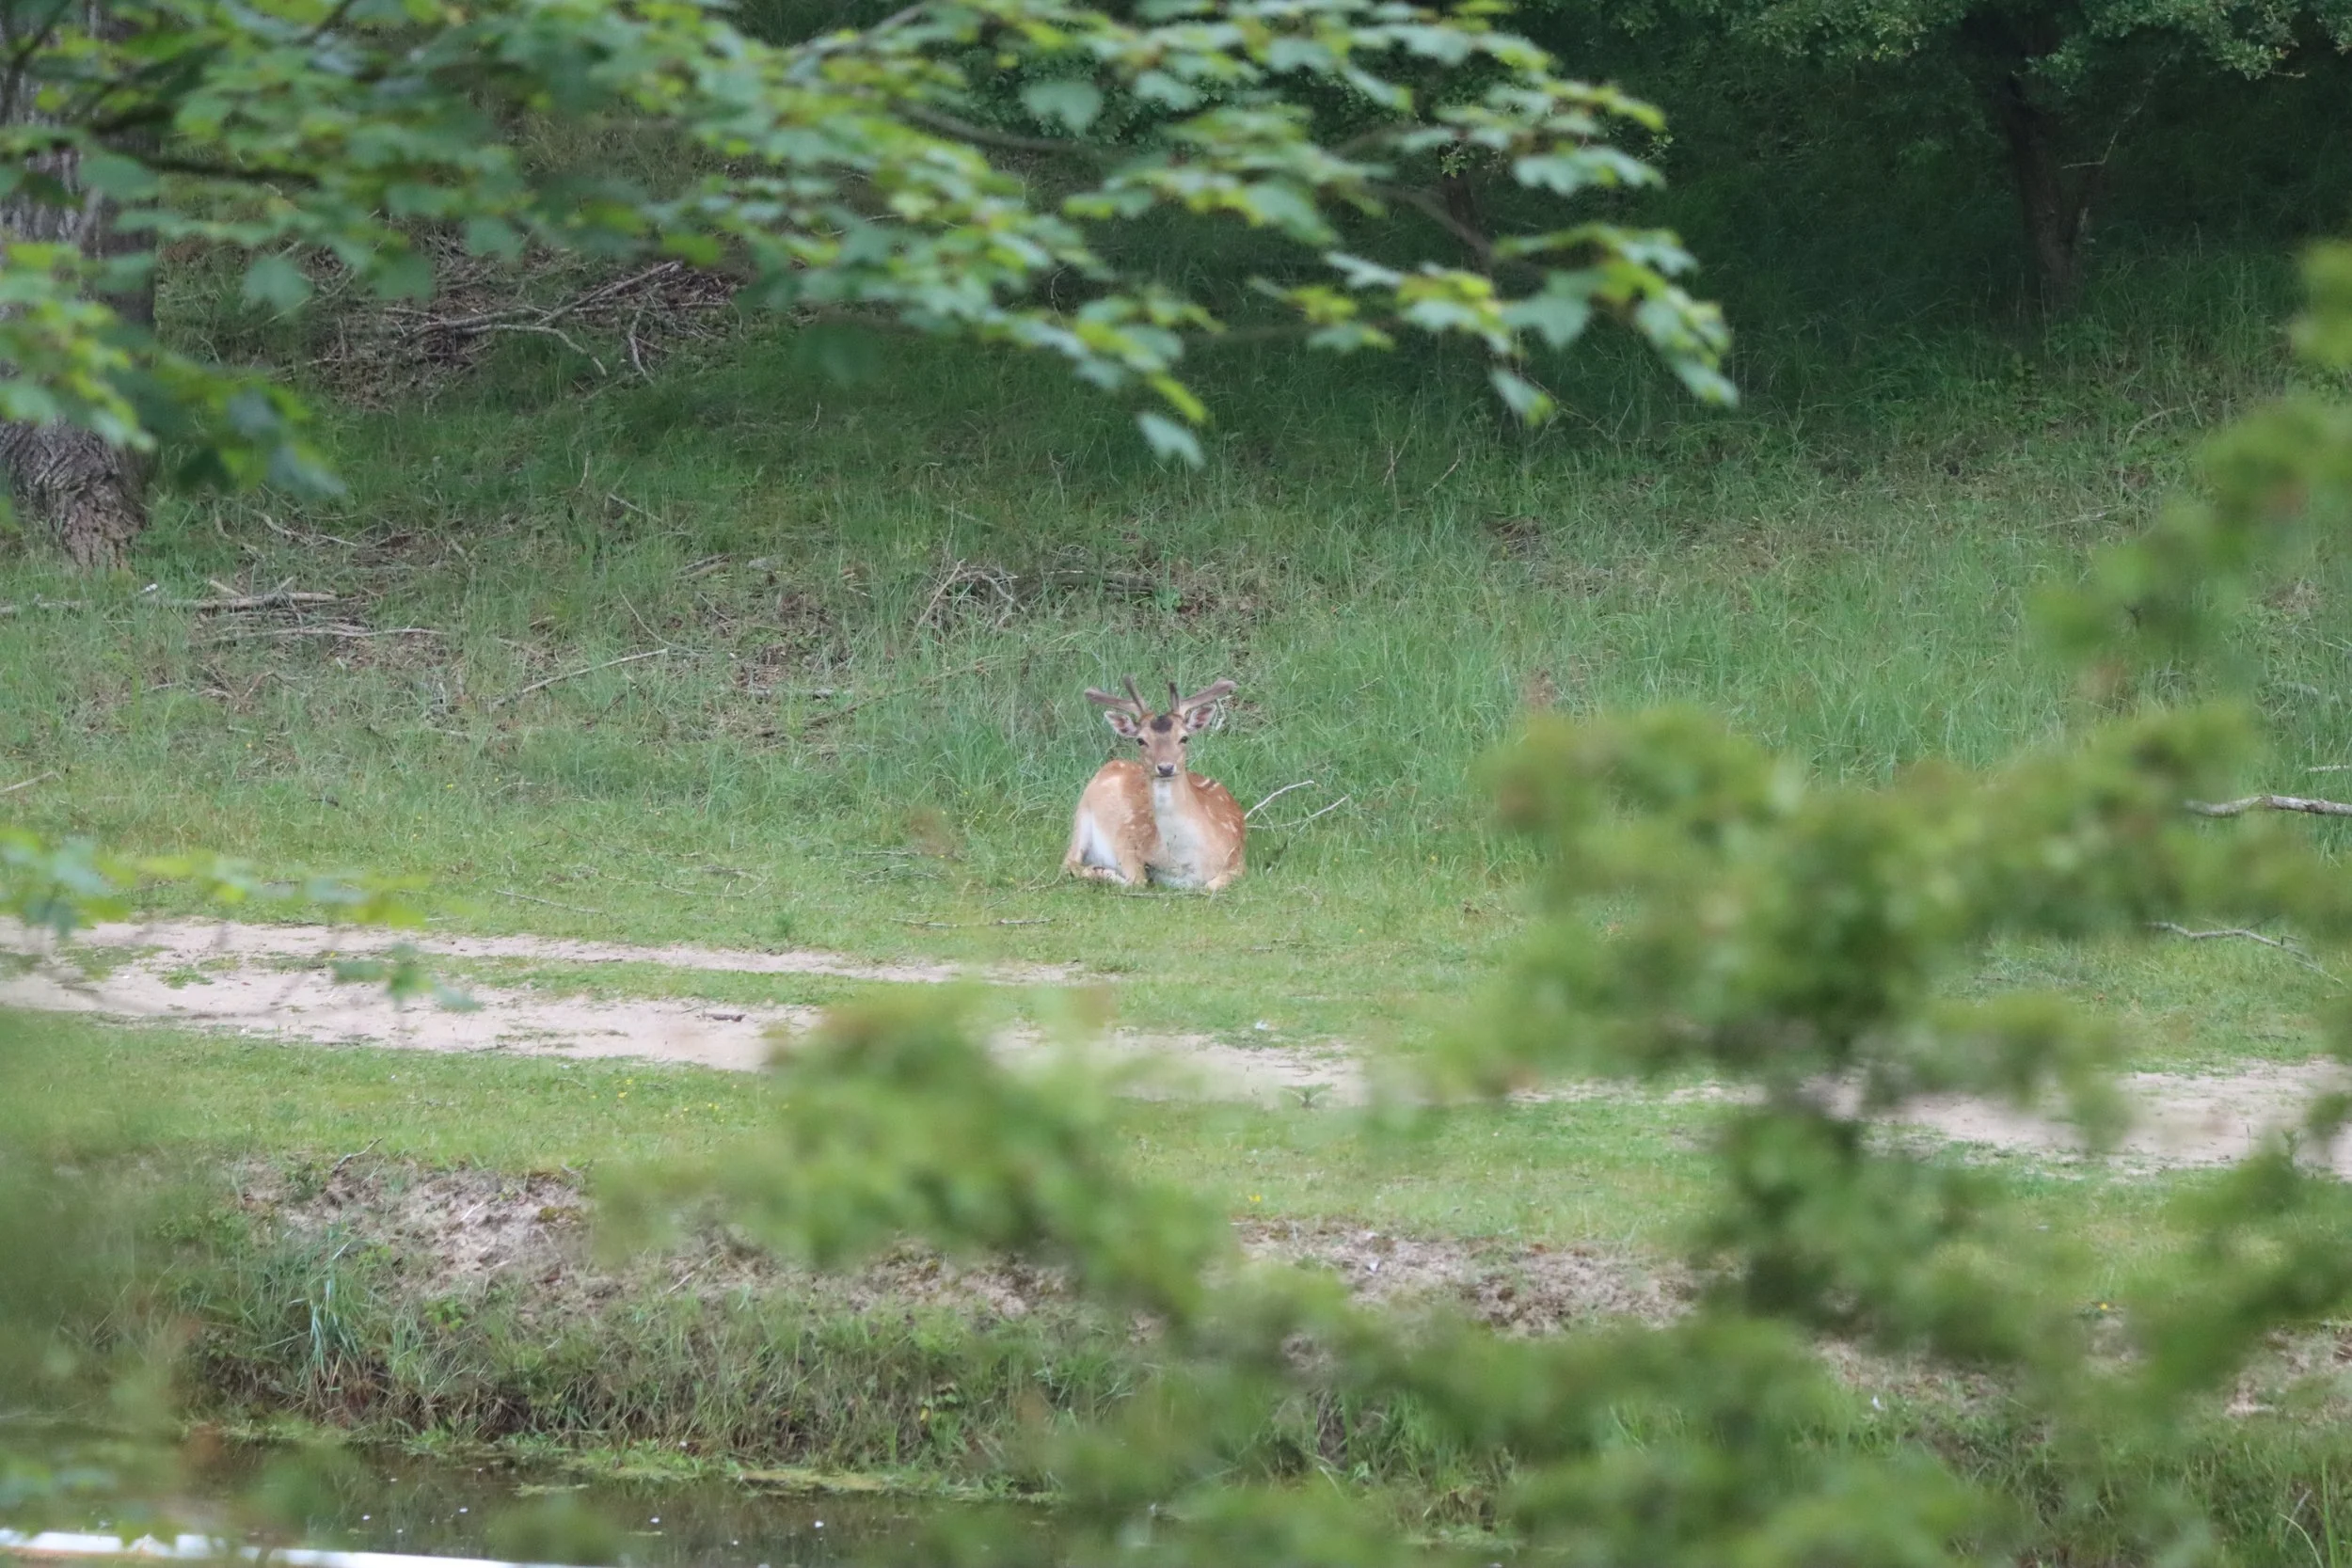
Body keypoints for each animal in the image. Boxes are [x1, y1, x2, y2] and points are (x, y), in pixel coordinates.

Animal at [1064, 676, 1246, 891]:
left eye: (1184, 738)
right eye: (1141, 741)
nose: (1166, 767)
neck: (1185, 861)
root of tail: (1110, 765)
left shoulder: (1238, 860)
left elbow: (1211, 886)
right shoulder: (1127, 839)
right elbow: (1138, 881)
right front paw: (1102, 871)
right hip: (1082, 815)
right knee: (1068, 862)